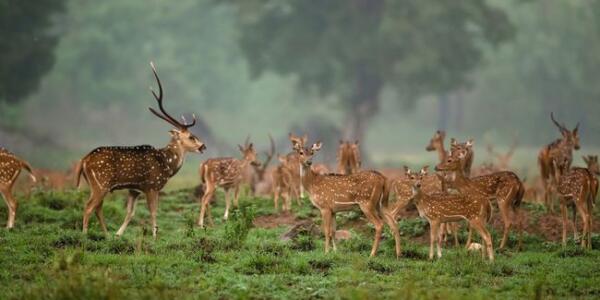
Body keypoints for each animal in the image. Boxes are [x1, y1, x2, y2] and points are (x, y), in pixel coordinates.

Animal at [76, 62, 206, 238]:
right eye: (192, 136)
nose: (203, 146)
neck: (167, 165)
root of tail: (83, 160)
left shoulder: (134, 189)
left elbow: (130, 213)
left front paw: (118, 234)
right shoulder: (152, 186)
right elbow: (154, 212)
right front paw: (155, 236)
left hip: (95, 185)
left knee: (98, 208)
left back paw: (107, 235)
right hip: (101, 183)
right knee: (89, 206)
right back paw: (84, 235)